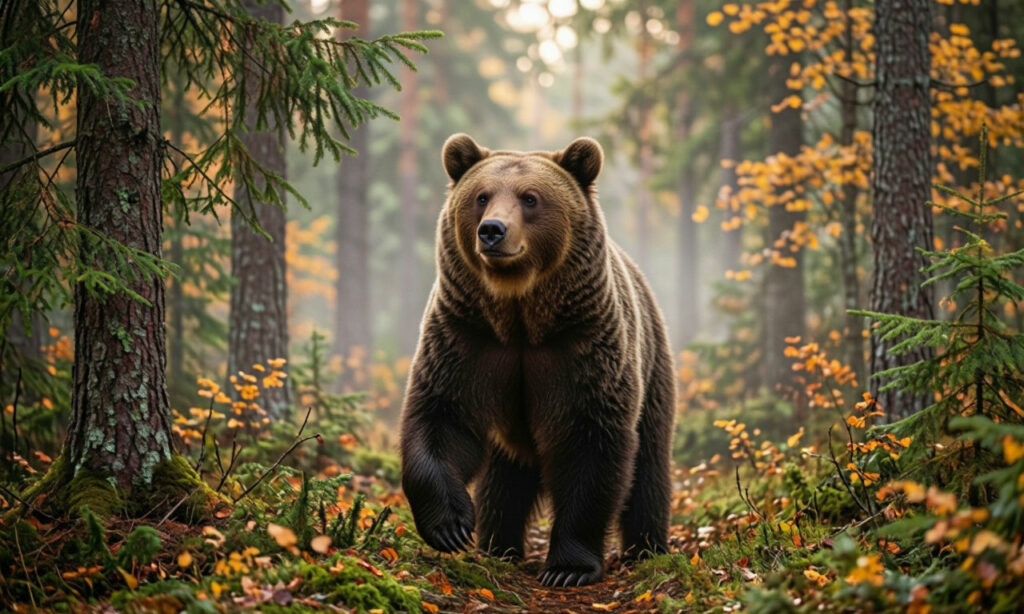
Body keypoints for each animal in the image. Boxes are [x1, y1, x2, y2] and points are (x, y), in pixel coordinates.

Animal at [399, 134, 676, 587]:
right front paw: (451, 526)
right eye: (481, 196)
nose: (492, 230)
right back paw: (498, 546)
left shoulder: (582, 346)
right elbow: (441, 416)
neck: (520, 316)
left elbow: (591, 444)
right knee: (504, 482)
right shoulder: (466, 337)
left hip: (652, 368)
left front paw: (569, 567)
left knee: (649, 467)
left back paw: (647, 549)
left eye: (530, 198)